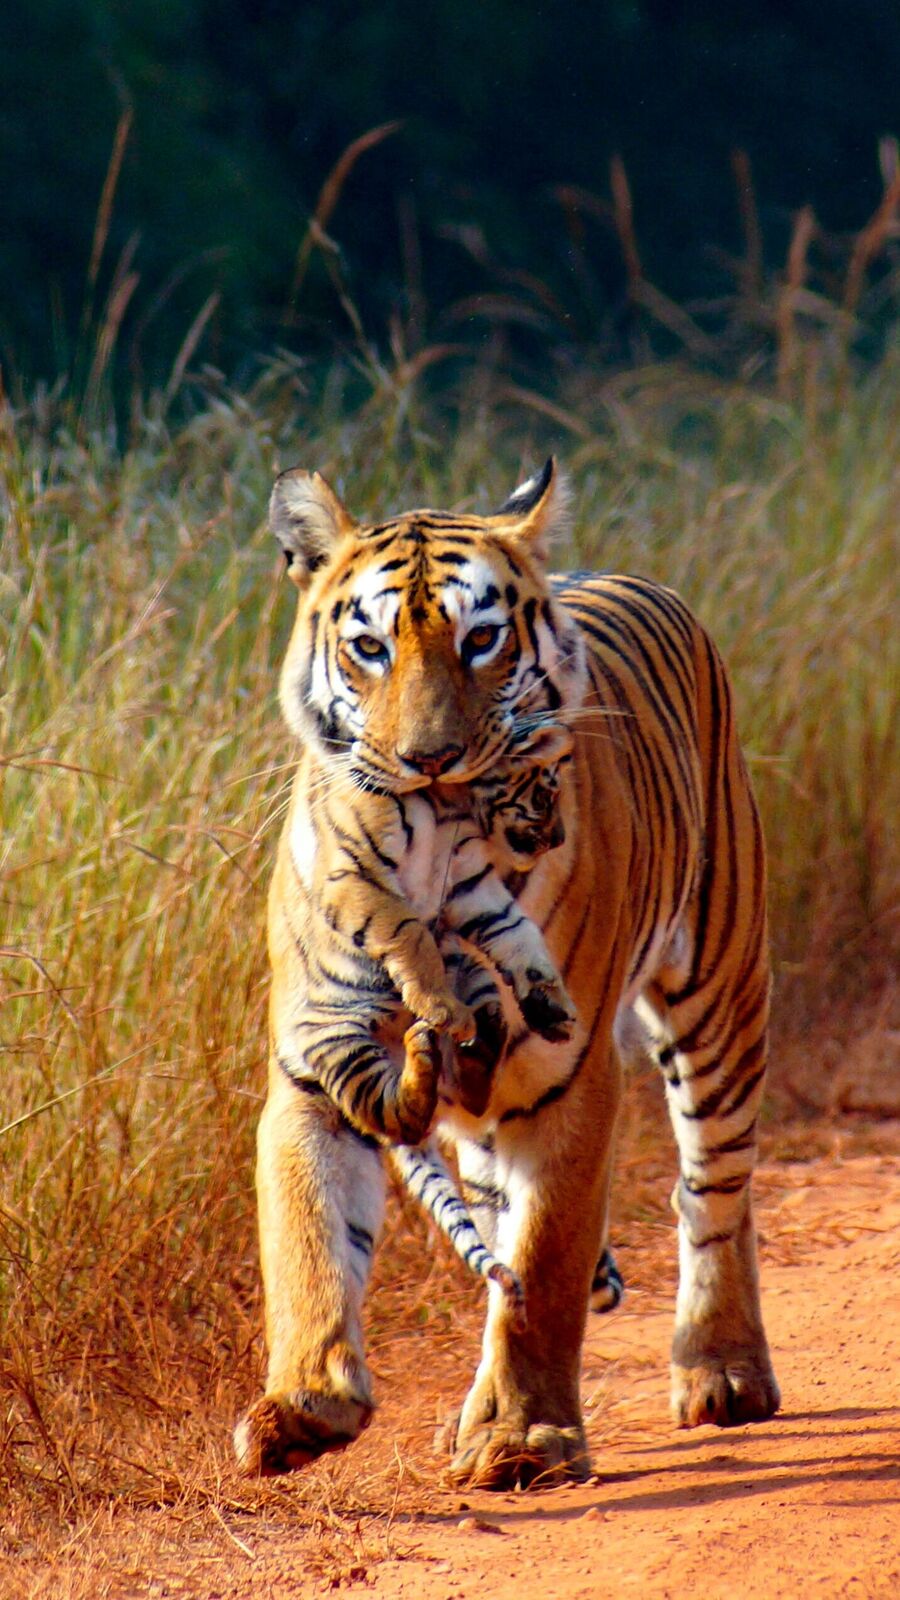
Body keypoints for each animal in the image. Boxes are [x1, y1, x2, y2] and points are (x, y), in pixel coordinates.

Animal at [233, 458, 780, 1486]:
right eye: (368, 647)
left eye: (481, 639)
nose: (428, 761)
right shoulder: (312, 1072)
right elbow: (308, 1246)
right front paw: (302, 1406)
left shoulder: (569, 1080)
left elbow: (548, 1265)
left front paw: (525, 1434)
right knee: (487, 1210)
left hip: (719, 993)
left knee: (711, 1187)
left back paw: (722, 1368)